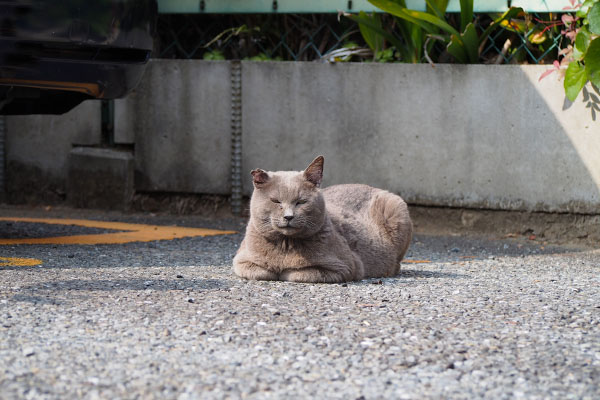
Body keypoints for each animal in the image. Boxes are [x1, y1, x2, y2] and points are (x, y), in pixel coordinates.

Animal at [233, 155, 412, 282]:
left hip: (396, 207)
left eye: (301, 202)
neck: (286, 244)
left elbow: (295, 273)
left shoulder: (345, 266)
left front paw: (285, 270)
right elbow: (262, 272)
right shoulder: (240, 260)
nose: (289, 216)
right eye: (276, 201)